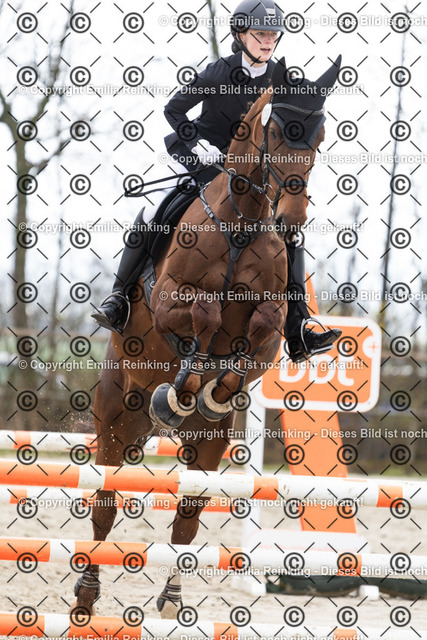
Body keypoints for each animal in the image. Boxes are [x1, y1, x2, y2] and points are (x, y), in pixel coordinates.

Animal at [73, 56, 342, 619]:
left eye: (322, 135)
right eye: (279, 131)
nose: (292, 219)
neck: (245, 222)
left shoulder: (271, 328)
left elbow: (257, 330)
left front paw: (213, 389)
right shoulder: (168, 299)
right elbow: (204, 311)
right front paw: (188, 380)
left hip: (208, 446)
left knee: (187, 517)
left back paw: (172, 598)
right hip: (116, 411)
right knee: (105, 503)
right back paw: (86, 595)